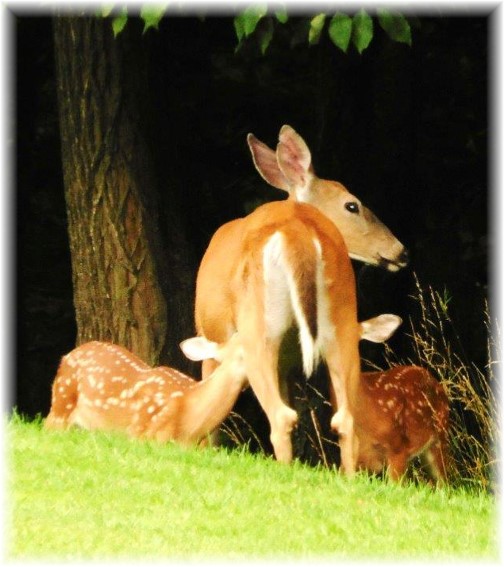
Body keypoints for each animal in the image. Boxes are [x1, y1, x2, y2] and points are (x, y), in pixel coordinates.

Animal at [195, 125, 408, 474]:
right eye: (352, 206)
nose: (400, 252)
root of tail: (299, 231)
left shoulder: (211, 338)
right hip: (343, 322)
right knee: (345, 420)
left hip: (257, 325)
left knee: (281, 416)